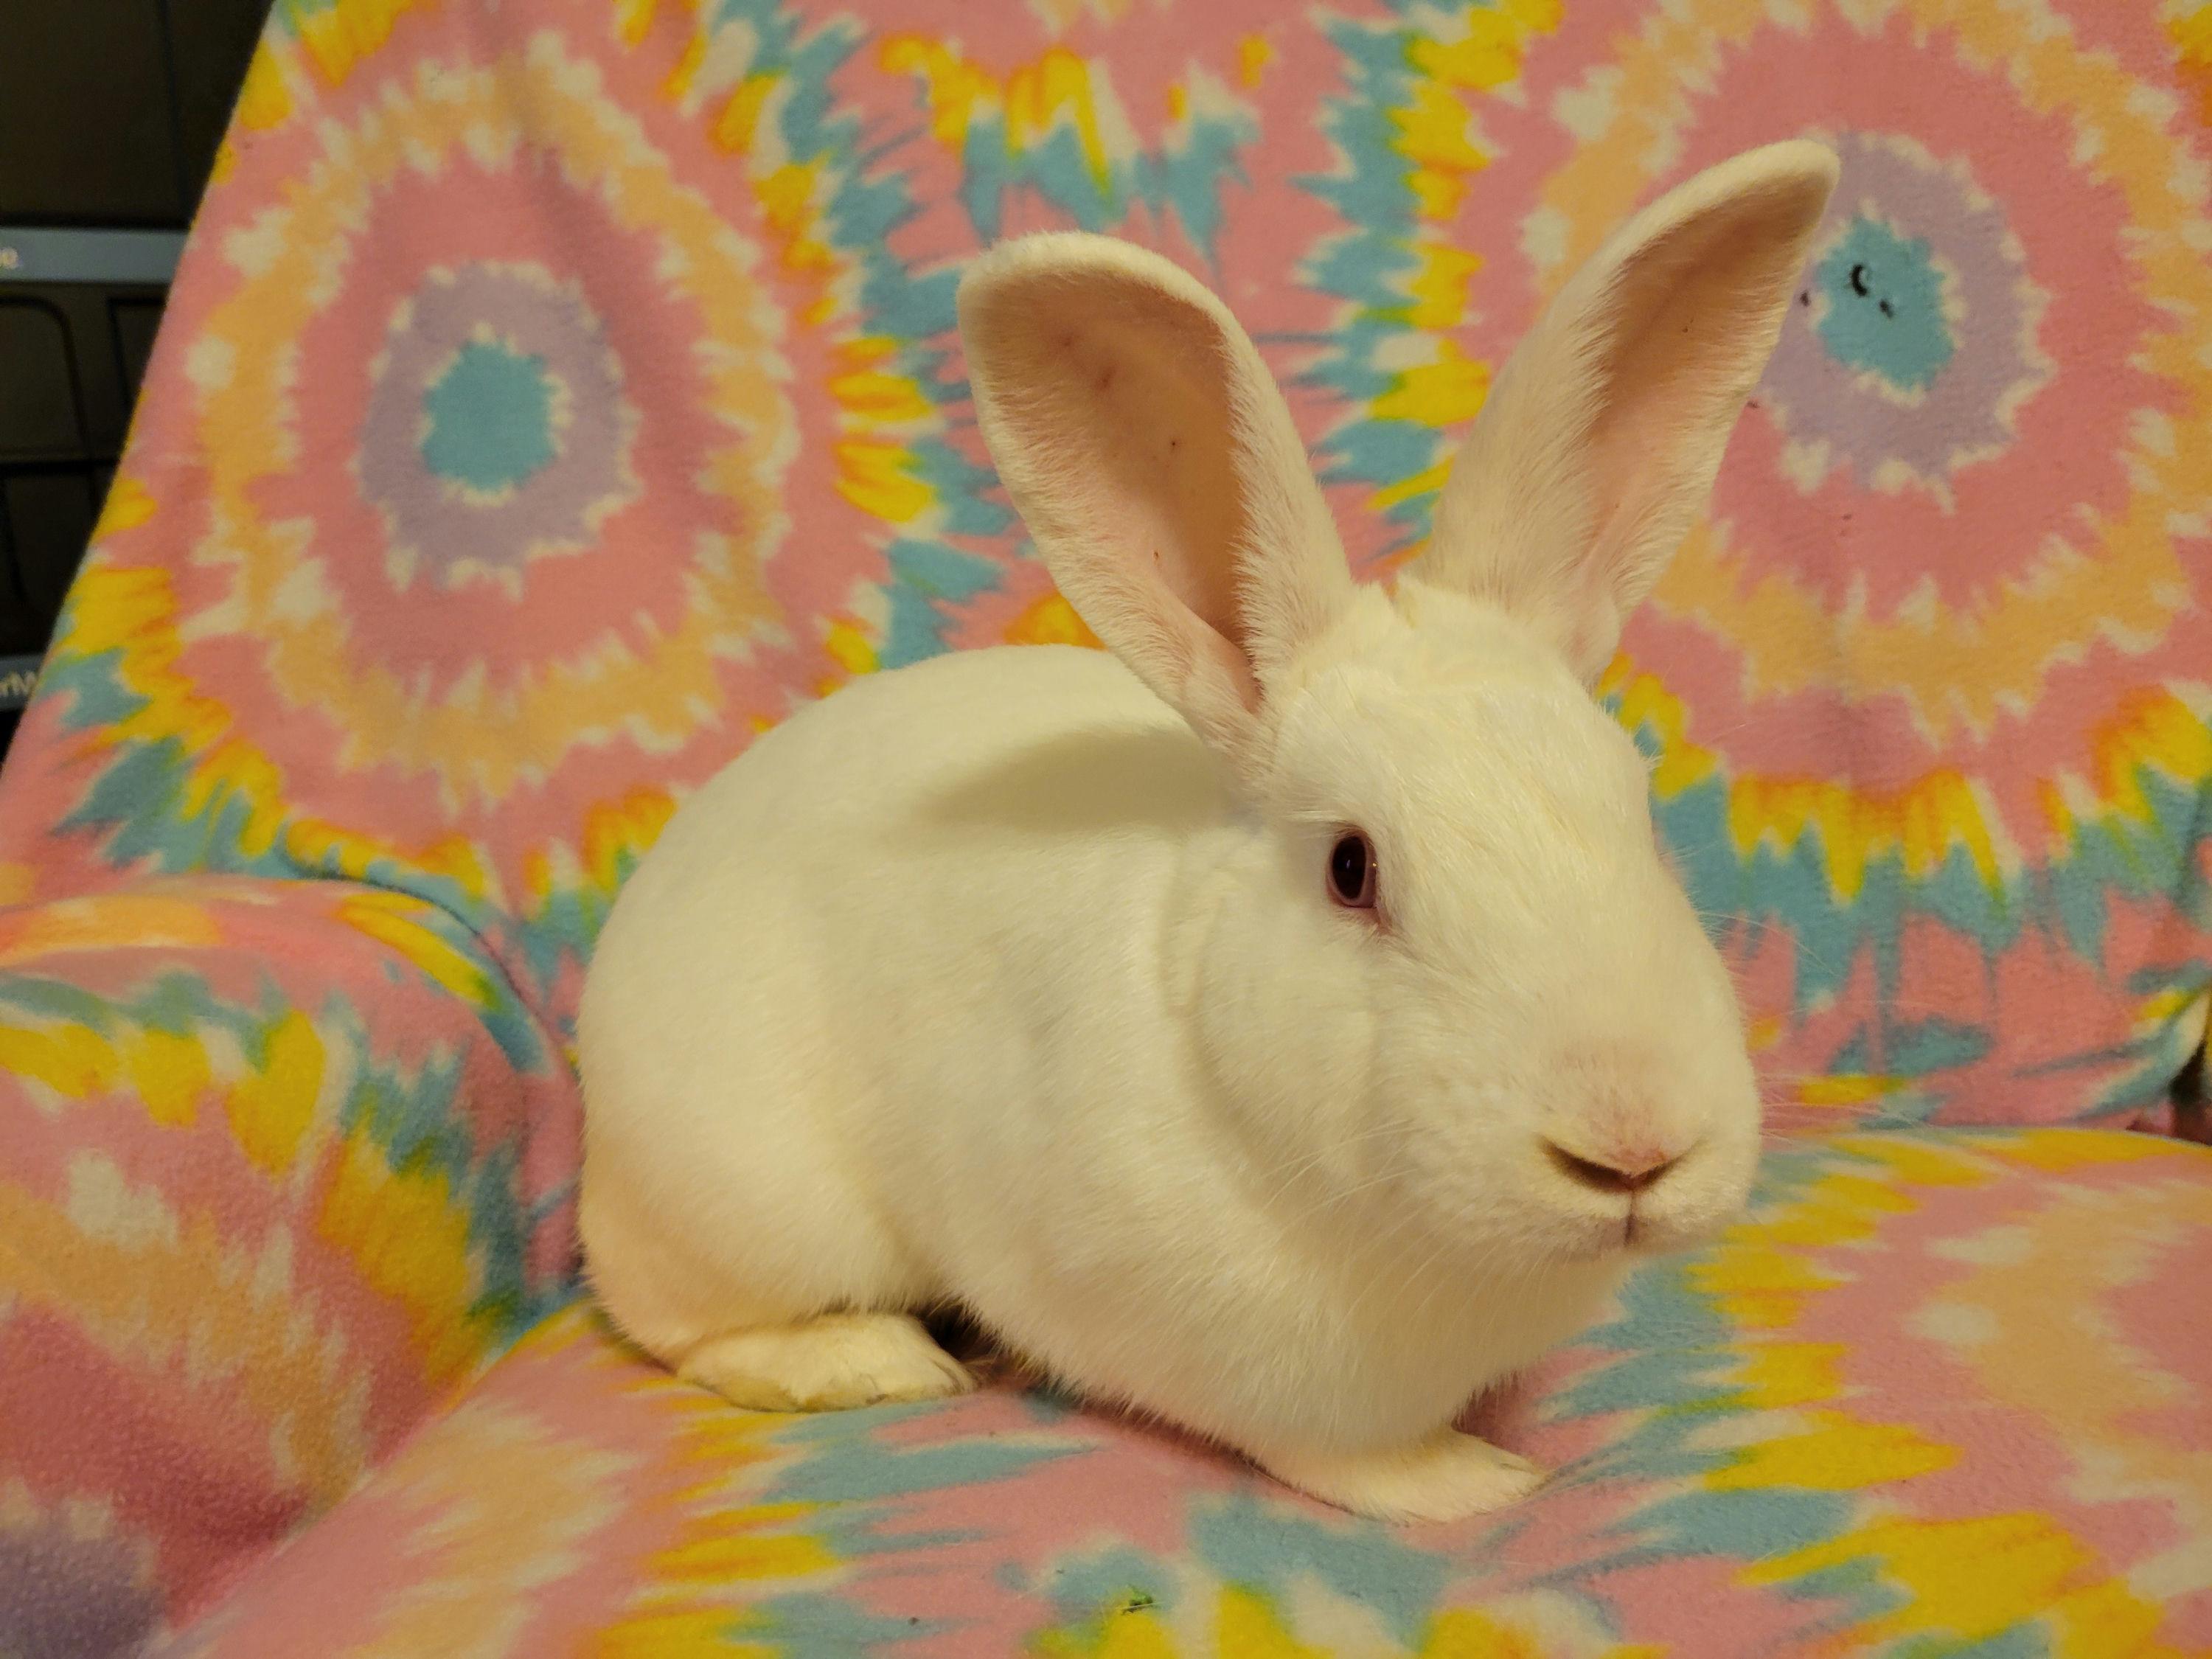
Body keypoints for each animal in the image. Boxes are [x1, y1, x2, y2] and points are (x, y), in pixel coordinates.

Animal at [577, 140, 1838, 1523]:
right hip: (749, 1198)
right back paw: (874, 1362)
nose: (1631, 1150)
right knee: (684, 1325)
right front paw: (1472, 1485)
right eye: (1351, 869)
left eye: (1644, 817)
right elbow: (1345, 1455)